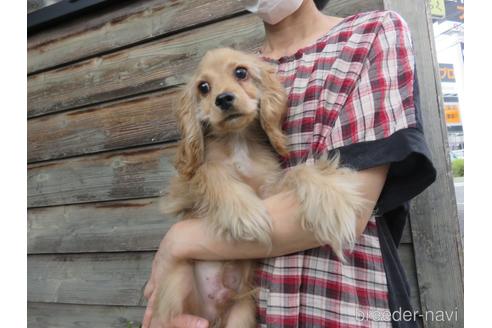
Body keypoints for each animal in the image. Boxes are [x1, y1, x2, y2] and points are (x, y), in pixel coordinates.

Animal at [154, 47, 366, 326]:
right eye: (203, 87)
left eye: (240, 72)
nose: (223, 99)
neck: (237, 141)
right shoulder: (181, 189)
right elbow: (209, 170)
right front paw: (244, 212)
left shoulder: (269, 190)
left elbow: (298, 170)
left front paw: (331, 199)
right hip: (175, 291)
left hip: (241, 313)